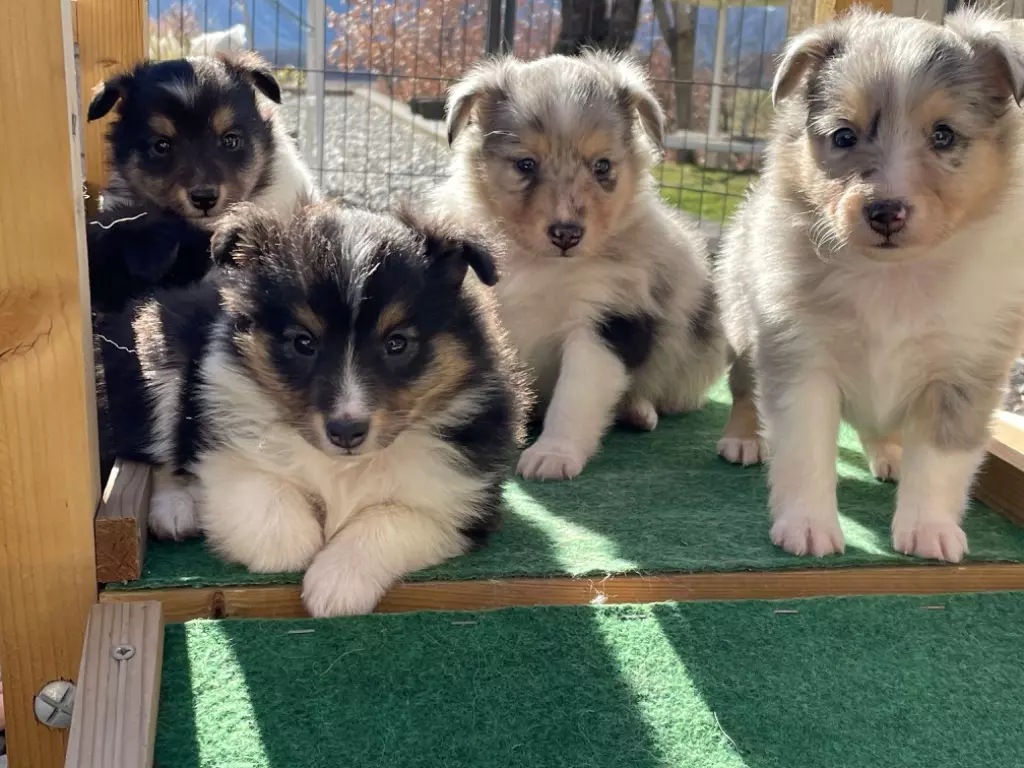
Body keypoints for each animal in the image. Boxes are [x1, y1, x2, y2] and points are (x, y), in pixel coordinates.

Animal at [436, 51, 724, 481]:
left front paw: (552, 455)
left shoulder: (605, 320)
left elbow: (576, 396)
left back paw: (638, 410)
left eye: (602, 166)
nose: (567, 234)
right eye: (526, 164)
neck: (542, 265)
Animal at [716, 9, 1024, 565]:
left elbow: (940, 463)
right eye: (843, 136)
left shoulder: (964, 373)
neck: (893, 275)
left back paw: (890, 454)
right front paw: (807, 528)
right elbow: (806, 453)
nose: (885, 212)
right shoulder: (801, 356)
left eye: (944, 135)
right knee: (744, 387)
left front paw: (929, 531)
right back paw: (744, 439)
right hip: (744, 324)